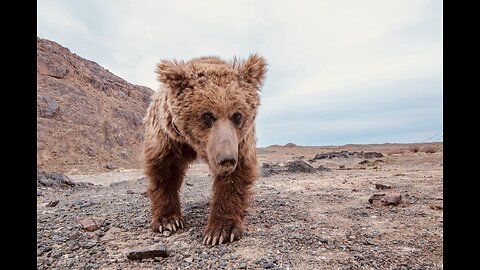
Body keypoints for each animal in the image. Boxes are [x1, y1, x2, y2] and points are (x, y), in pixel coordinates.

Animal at [142, 54, 268, 245]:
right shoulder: (168, 136)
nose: (227, 159)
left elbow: (236, 176)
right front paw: (168, 220)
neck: (193, 144)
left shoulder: (240, 141)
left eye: (237, 115)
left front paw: (220, 231)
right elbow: (164, 170)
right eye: (207, 116)